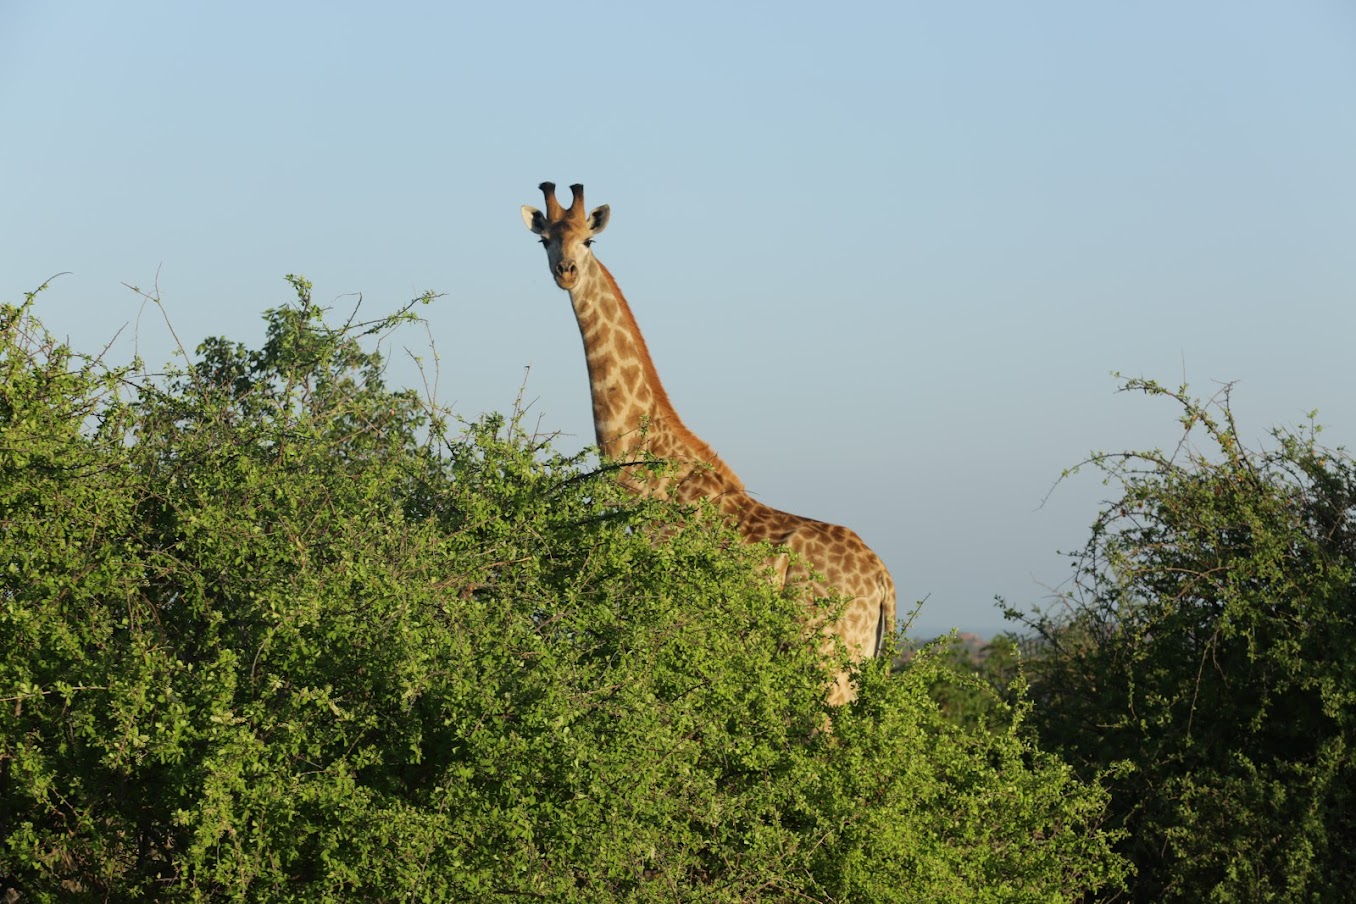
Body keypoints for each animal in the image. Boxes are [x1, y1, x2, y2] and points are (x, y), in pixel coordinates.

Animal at [515, 181, 889, 704]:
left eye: (588, 241)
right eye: (544, 240)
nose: (565, 272)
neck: (647, 474)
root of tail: (883, 580)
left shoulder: (665, 613)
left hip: (827, 657)